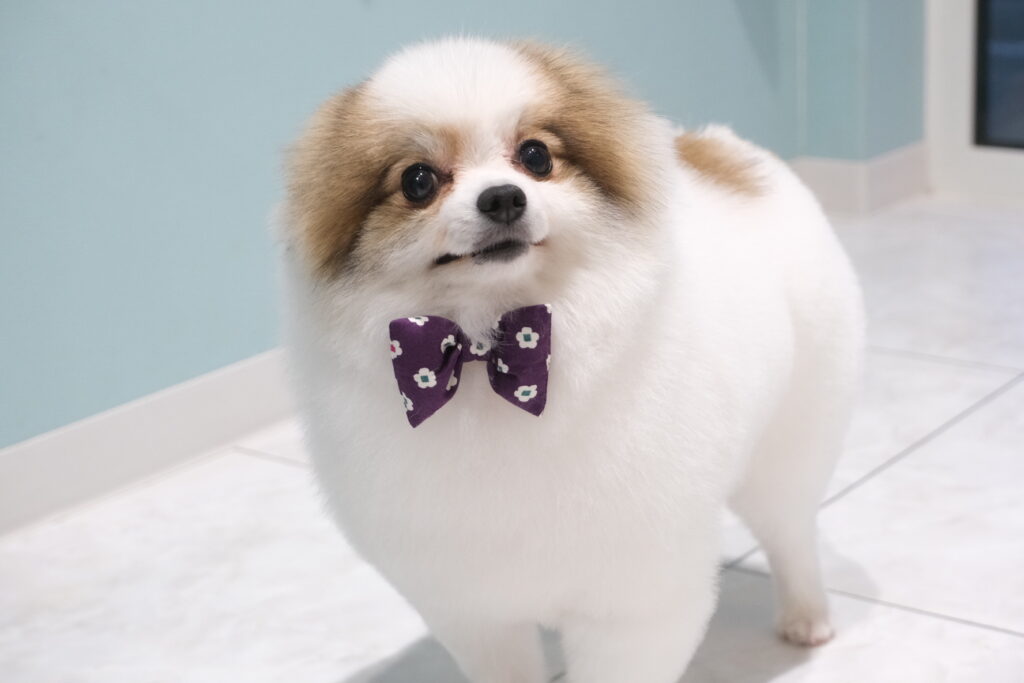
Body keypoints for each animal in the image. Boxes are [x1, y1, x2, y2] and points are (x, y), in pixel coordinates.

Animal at [281, 37, 864, 683]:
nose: (503, 196)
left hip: (789, 441)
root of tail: (724, 150)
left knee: (792, 531)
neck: (489, 348)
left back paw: (807, 616)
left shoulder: (634, 600)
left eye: (536, 156)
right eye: (418, 181)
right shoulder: (473, 603)